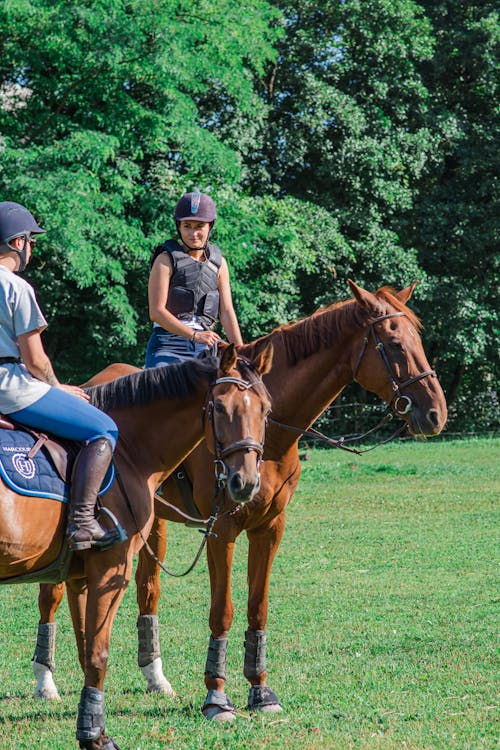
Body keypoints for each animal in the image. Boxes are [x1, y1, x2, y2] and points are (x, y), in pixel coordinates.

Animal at [0, 344, 274, 748]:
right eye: (221, 407)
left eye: (266, 409)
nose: (246, 482)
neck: (129, 449)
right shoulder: (111, 568)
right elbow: (98, 654)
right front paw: (94, 735)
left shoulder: (82, 573)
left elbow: (86, 648)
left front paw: (91, 725)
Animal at [32, 282, 446, 724]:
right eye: (395, 343)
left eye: (418, 339)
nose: (436, 413)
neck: (269, 438)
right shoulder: (222, 530)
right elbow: (223, 611)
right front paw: (217, 696)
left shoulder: (270, 527)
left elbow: (257, 607)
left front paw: (261, 691)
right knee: (52, 593)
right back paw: (45, 682)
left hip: (151, 526)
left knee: (145, 589)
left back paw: (154, 676)